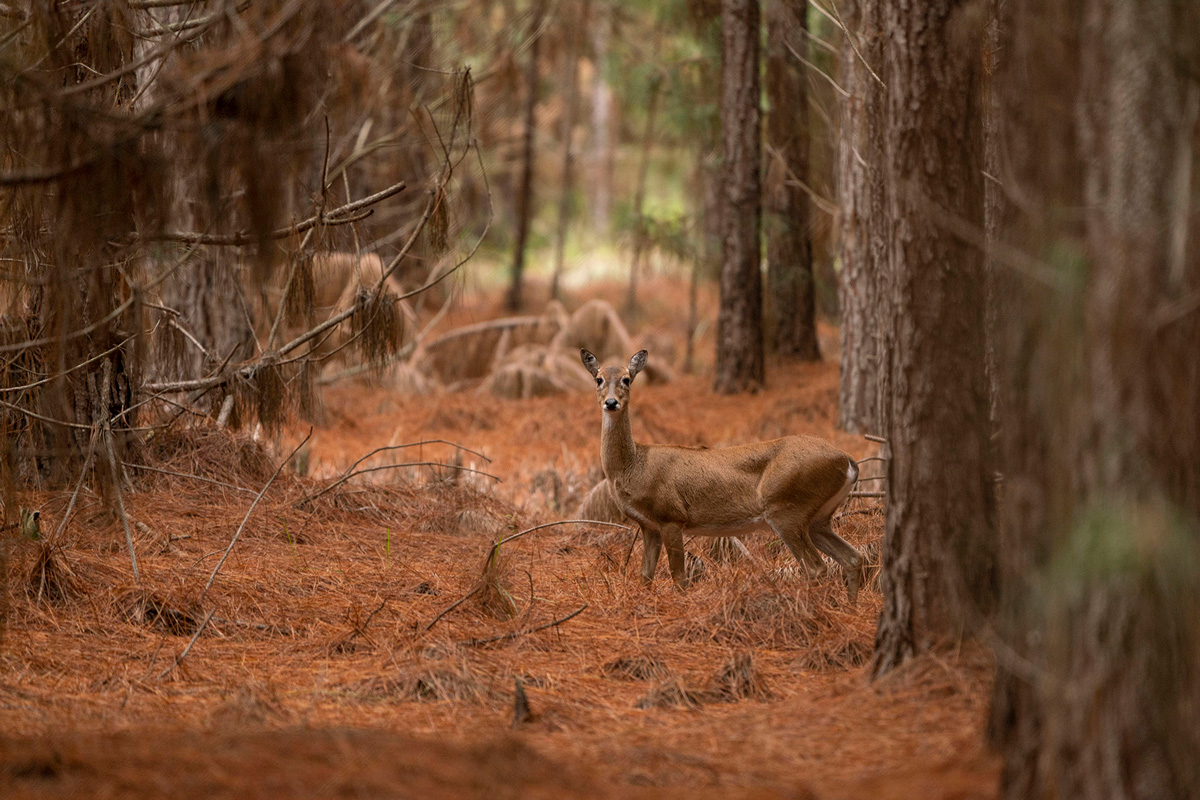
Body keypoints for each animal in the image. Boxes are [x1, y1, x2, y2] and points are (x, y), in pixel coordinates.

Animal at [578, 347, 864, 599]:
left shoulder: (671, 516)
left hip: (787, 508)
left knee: (816, 567)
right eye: (598, 378)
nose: (611, 402)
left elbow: (678, 577)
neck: (634, 467)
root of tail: (848, 461)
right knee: (852, 557)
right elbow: (645, 576)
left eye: (627, 379)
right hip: (818, 517)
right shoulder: (649, 526)